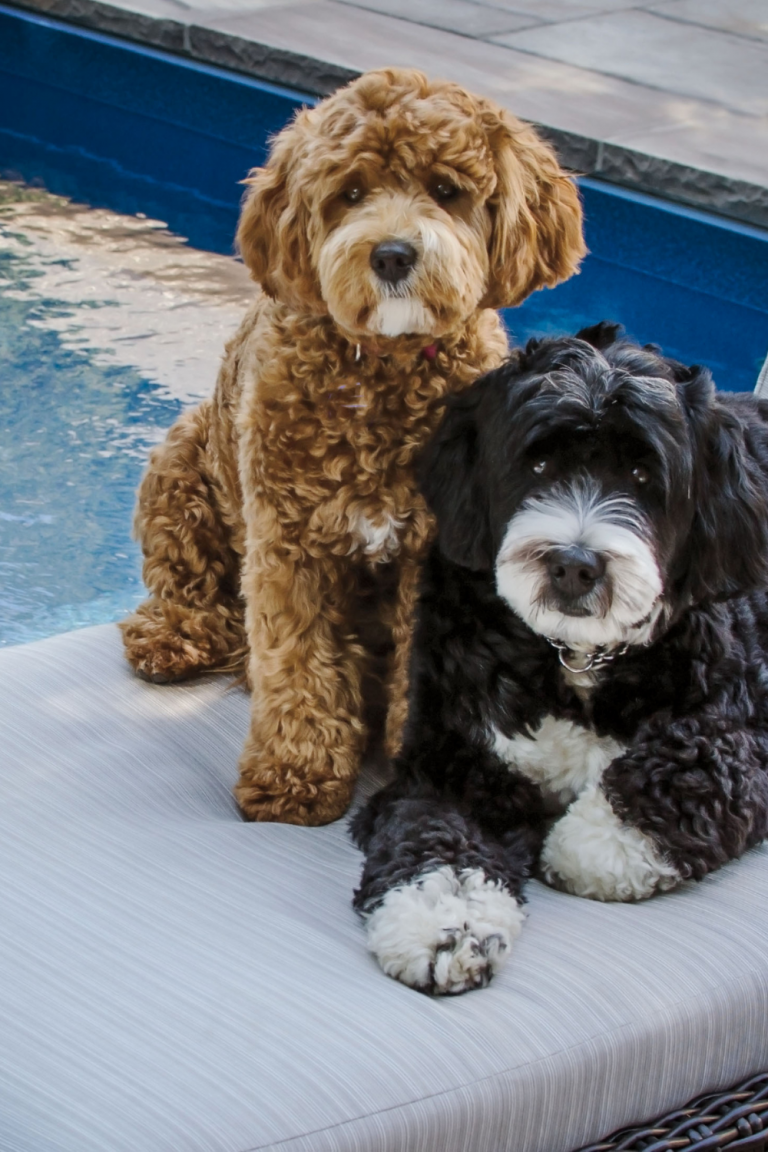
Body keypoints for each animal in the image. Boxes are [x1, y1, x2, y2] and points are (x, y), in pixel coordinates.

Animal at [118, 69, 582, 829]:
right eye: (351, 193)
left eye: (446, 188)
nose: (392, 254)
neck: (383, 372)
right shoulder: (288, 545)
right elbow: (297, 662)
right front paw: (295, 775)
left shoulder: (439, 553)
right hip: (180, 466)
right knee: (191, 592)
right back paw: (176, 636)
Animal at [352, 324, 768, 999]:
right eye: (539, 463)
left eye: (642, 474)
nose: (575, 564)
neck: (572, 657)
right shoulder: (449, 760)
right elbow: (432, 834)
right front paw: (446, 924)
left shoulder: (745, 726)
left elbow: (689, 764)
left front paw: (578, 842)